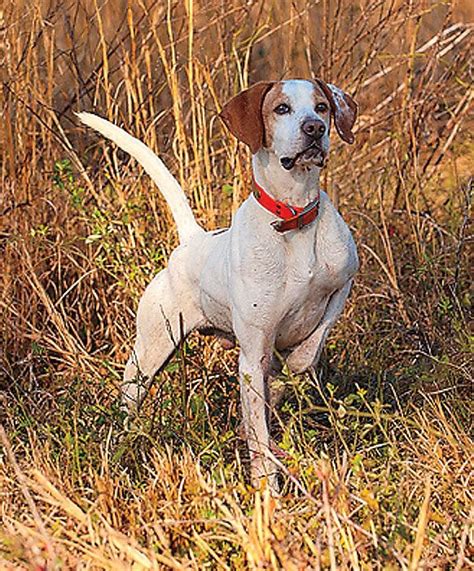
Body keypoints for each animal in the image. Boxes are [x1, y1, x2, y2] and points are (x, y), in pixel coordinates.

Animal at [78, 78, 360, 494]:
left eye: (322, 106)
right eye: (282, 108)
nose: (314, 129)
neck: (294, 219)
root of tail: (191, 242)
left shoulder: (342, 286)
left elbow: (308, 350)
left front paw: (288, 374)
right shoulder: (253, 351)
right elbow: (258, 431)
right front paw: (267, 490)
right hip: (148, 355)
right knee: (128, 405)